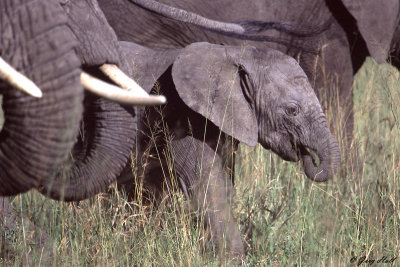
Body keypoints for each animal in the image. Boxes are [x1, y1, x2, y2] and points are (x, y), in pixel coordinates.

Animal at [116, 42, 340, 262]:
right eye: (292, 110)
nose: (306, 153)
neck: (236, 53)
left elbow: (225, 185)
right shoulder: (180, 117)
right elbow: (209, 187)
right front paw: (232, 260)